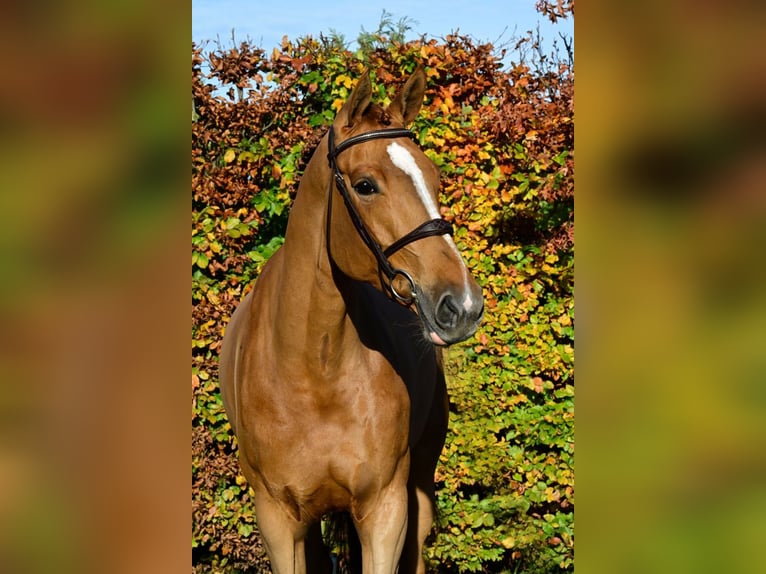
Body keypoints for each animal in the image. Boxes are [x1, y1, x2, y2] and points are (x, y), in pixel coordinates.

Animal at [219, 68, 484, 574]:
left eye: (435, 179)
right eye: (365, 185)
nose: (462, 304)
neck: (313, 369)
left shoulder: (386, 510)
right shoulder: (278, 520)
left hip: (419, 486)